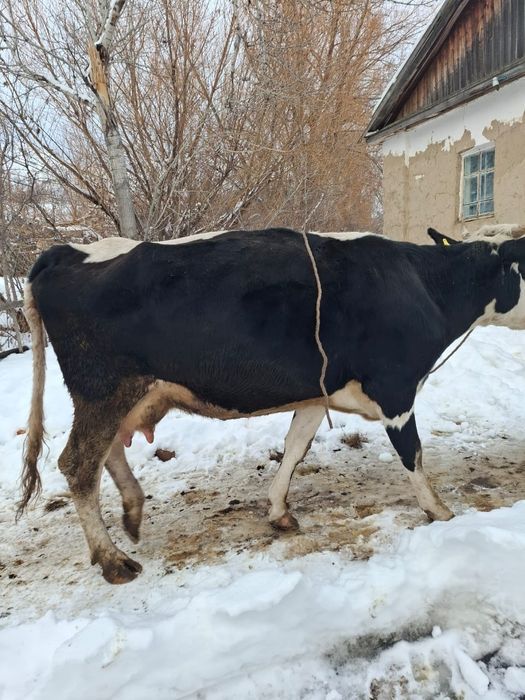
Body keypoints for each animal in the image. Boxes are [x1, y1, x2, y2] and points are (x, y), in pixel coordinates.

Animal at [19, 227, 525, 583]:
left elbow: (296, 447)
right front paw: (440, 512)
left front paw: (278, 510)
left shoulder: (317, 391)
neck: (427, 286)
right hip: (104, 387)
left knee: (106, 453)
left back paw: (133, 510)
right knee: (78, 463)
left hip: (123, 394)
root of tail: (65, 251)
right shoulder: (396, 387)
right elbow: (412, 454)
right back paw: (112, 559)